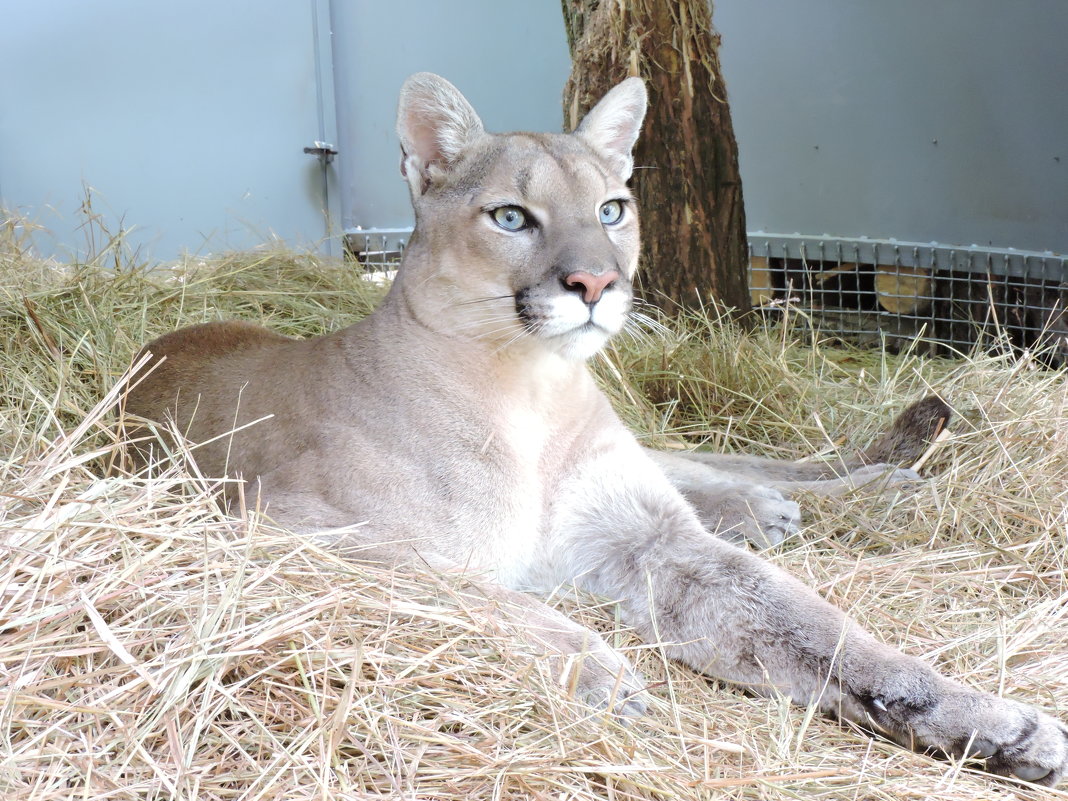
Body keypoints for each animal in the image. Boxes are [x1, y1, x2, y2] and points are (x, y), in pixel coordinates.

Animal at [127, 72, 1068, 786]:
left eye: (613, 208)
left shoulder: (653, 539)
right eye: (511, 217)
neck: (534, 395)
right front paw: (600, 668)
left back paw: (863, 486)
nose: (595, 283)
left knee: (724, 464)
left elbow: (829, 632)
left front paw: (996, 723)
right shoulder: (282, 523)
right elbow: (471, 588)